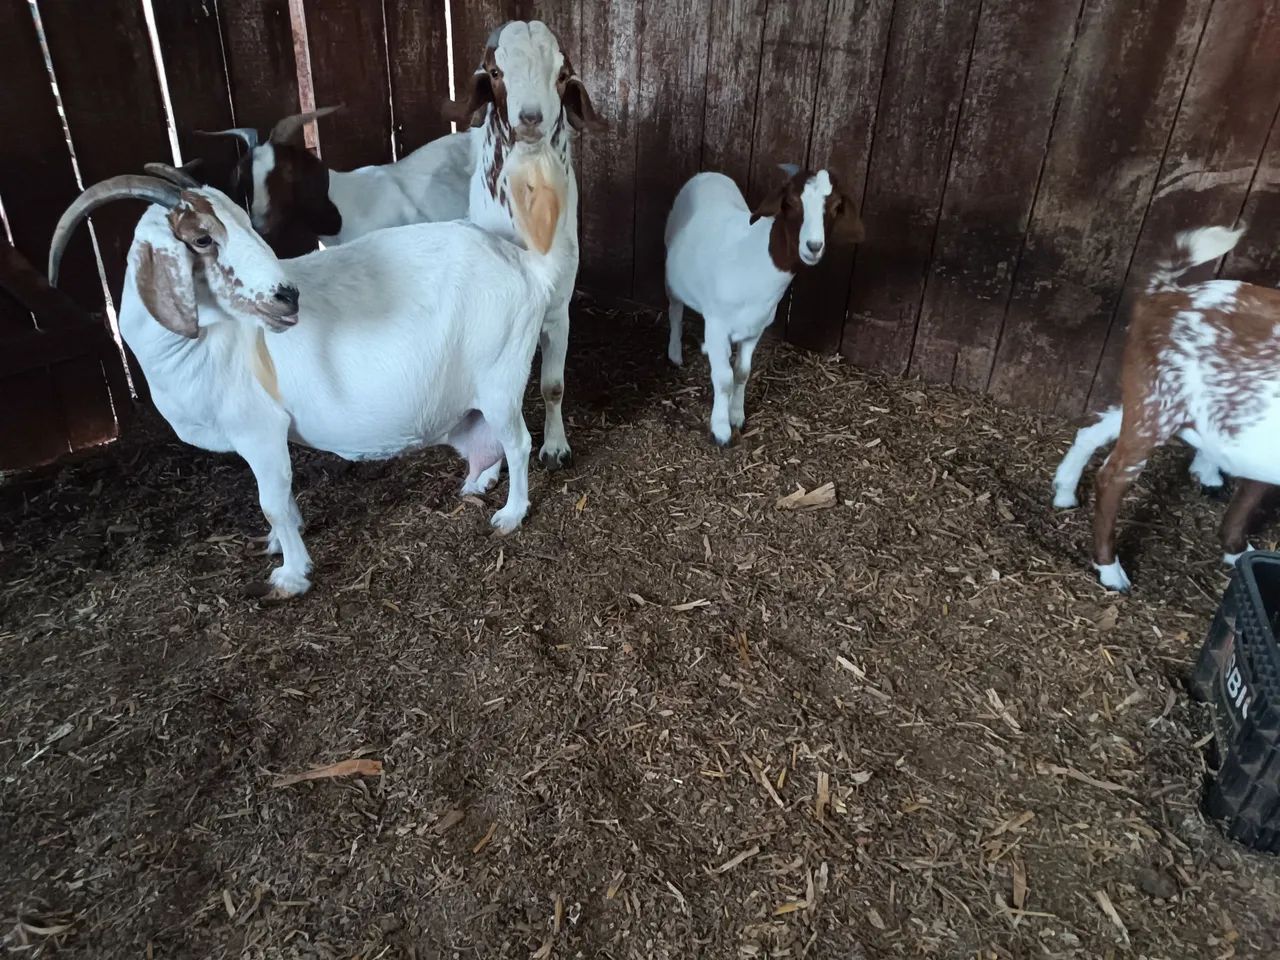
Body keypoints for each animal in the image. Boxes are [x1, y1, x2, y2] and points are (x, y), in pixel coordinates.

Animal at [48, 154, 569, 598]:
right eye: (202, 239)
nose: (287, 296)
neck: (211, 342)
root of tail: (526, 266)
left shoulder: (259, 429)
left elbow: (272, 502)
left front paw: (291, 576)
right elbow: (281, 504)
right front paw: (280, 543)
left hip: (500, 375)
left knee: (518, 441)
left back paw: (510, 513)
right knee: (489, 440)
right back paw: (479, 484)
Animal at [664, 166, 863, 444]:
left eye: (836, 206)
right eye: (791, 202)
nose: (813, 247)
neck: (755, 260)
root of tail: (709, 173)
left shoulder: (754, 329)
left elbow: (742, 372)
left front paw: (737, 416)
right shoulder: (718, 324)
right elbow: (724, 378)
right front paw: (721, 429)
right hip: (672, 273)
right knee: (675, 311)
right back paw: (675, 353)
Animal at [1051, 224, 1280, 592]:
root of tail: (1166, 294)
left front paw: (1237, 553)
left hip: (1148, 394)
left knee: (1092, 430)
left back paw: (1064, 493)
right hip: (1157, 406)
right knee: (1113, 476)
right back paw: (1111, 572)